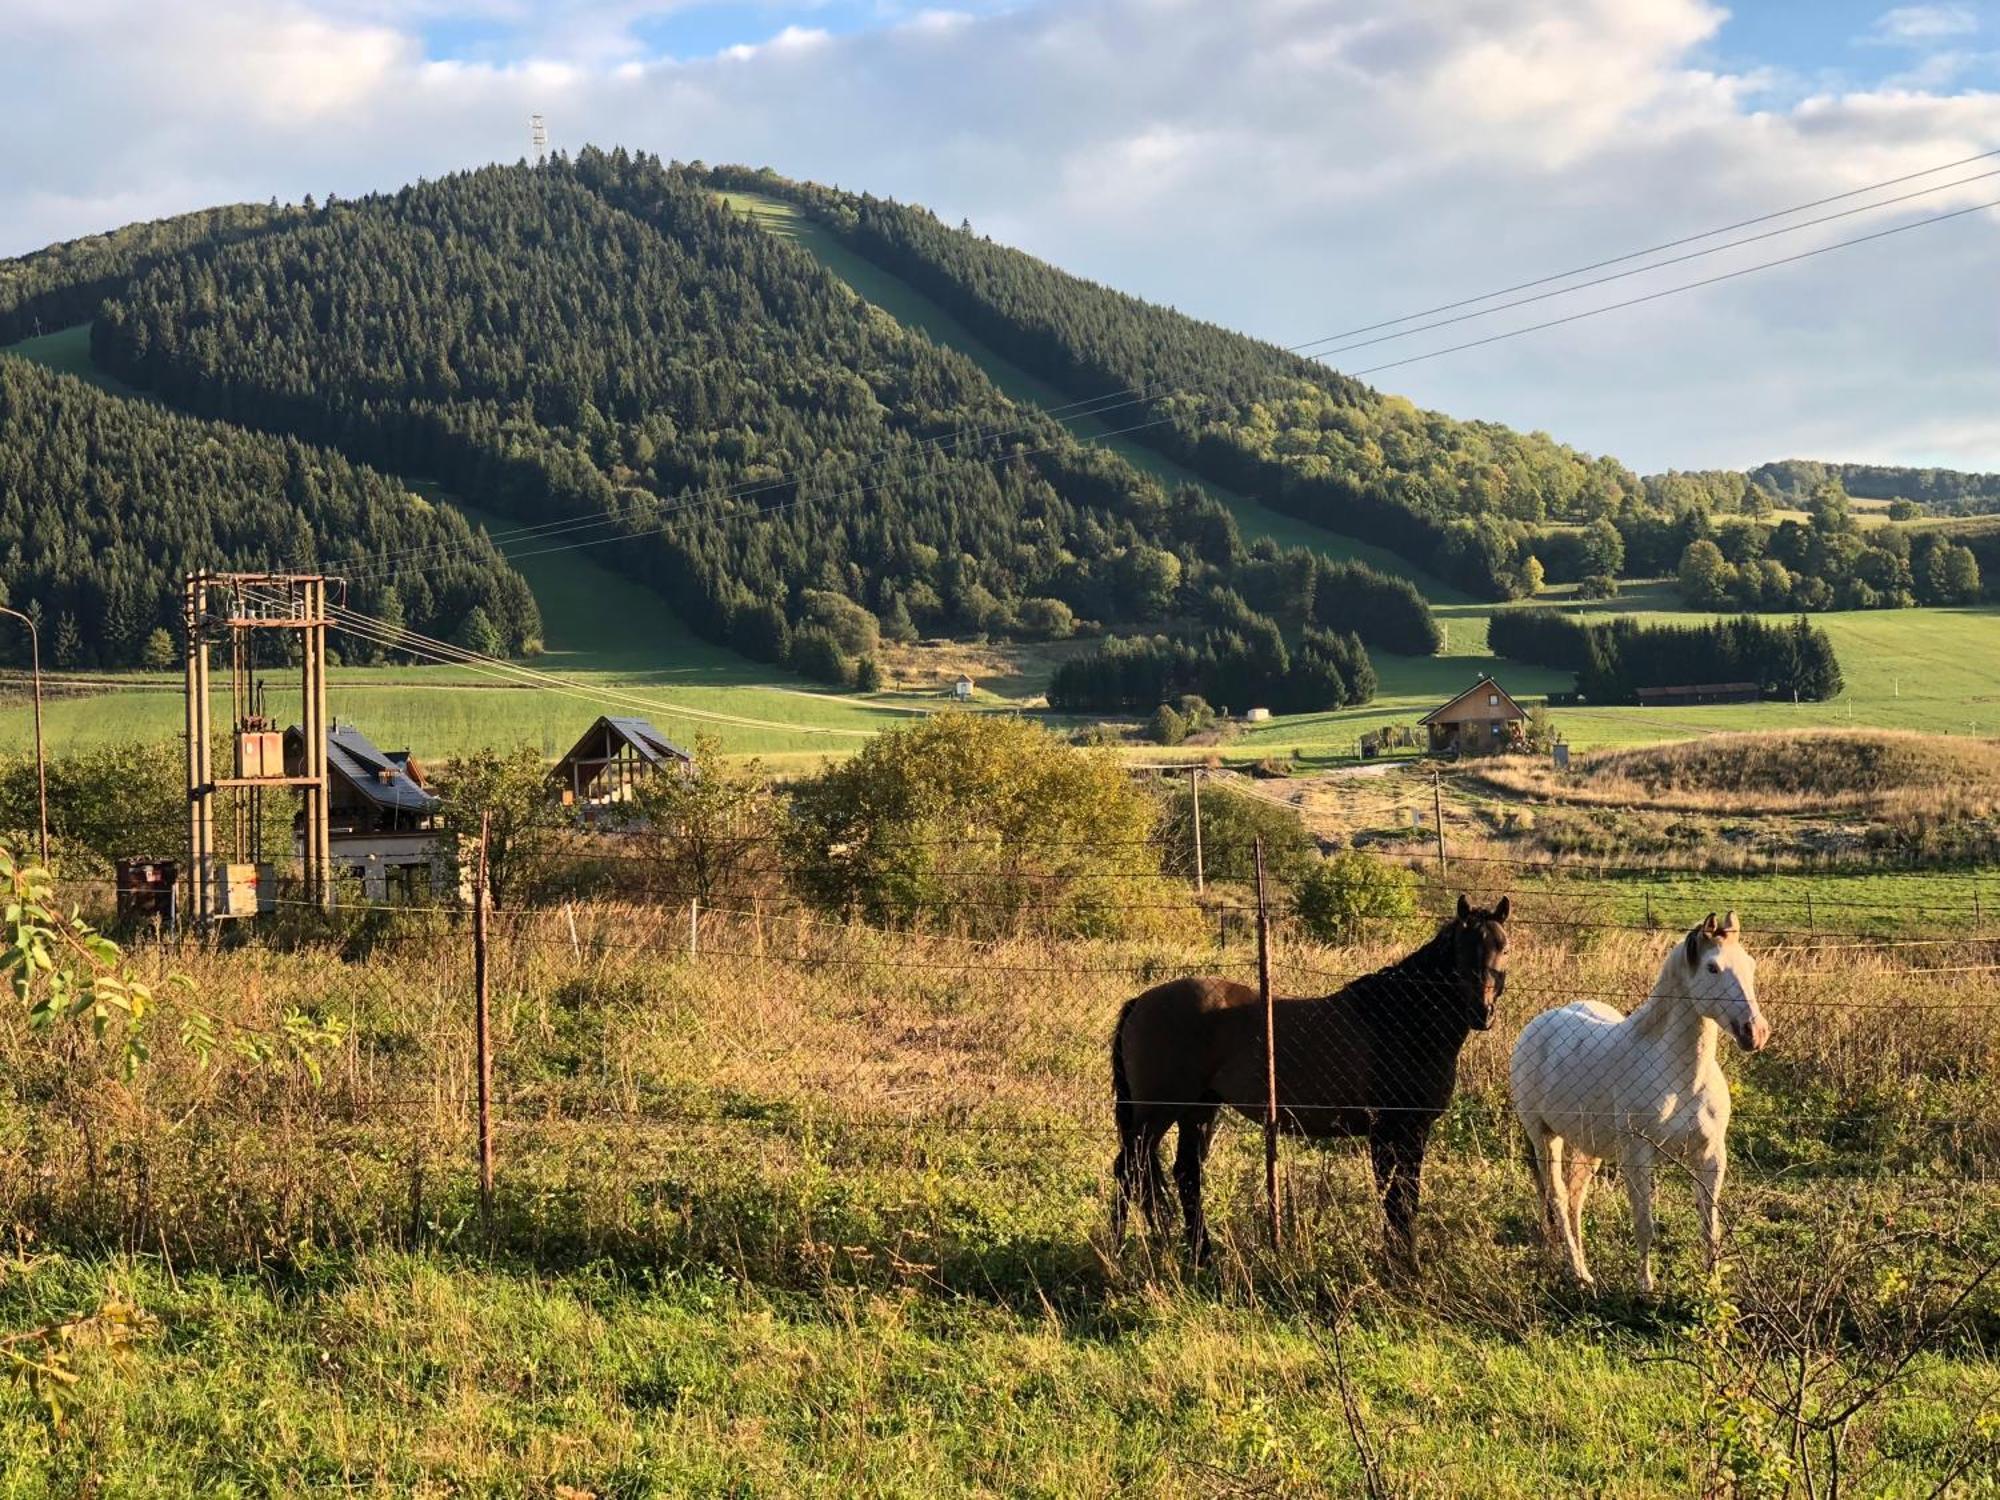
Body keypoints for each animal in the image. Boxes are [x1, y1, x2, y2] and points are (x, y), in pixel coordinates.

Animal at [1104, 900, 1504, 1272]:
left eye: (1502, 946)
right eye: (1460, 948)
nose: (1481, 1012)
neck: (1399, 1019)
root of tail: (1142, 1001)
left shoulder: (1415, 1130)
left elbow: (1406, 1198)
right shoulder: (1390, 1130)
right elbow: (1396, 1200)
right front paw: (1400, 1264)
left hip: (1198, 1110)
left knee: (1186, 1175)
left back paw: (1202, 1256)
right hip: (1157, 1114)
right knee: (1129, 1170)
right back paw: (1117, 1253)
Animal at [1504, 912, 1776, 1296]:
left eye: (1750, 965)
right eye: (1712, 968)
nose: (1755, 1032)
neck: (1680, 1077)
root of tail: (1539, 1024)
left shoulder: (1710, 1156)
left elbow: (1710, 1227)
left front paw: (1713, 1287)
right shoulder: (1637, 1156)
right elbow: (1644, 1225)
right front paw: (1645, 1287)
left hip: (1589, 1147)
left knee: (1574, 1200)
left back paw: (1584, 1270)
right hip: (1544, 1136)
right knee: (1557, 1196)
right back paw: (1579, 1273)